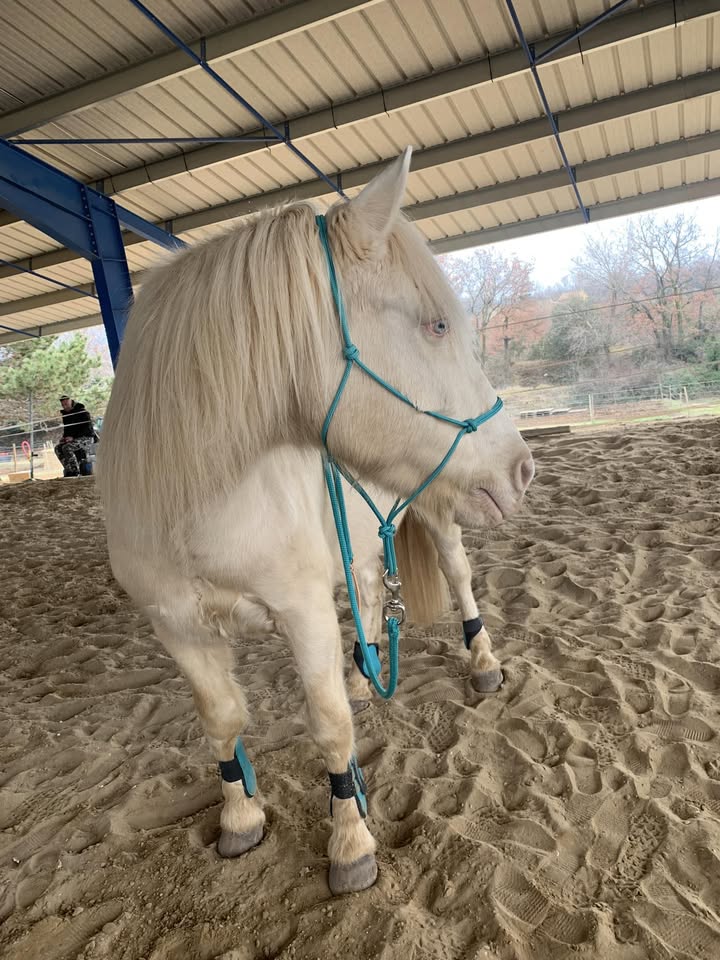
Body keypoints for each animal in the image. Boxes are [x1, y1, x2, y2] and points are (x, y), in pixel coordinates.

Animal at [98, 147, 534, 895]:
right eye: (437, 325)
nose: (522, 467)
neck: (191, 502)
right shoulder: (175, 625)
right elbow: (221, 722)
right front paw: (240, 816)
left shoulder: (300, 609)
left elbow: (328, 726)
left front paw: (350, 841)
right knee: (369, 593)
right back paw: (366, 674)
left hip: (438, 504)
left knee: (458, 574)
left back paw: (481, 664)